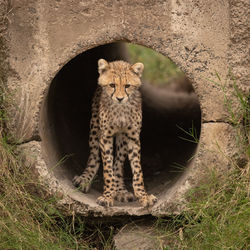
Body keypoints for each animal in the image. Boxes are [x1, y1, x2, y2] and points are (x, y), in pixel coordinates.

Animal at [73, 58, 157, 207]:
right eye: (112, 85)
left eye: (127, 86)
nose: (120, 98)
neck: (120, 108)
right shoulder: (105, 136)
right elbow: (107, 169)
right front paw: (107, 196)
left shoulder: (133, 138)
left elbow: (137, 169)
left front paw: (143, 195)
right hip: (95, 129)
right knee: (94, 157)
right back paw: (85, 179)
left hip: (122, 139)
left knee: (118, 163)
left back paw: (121, 190)